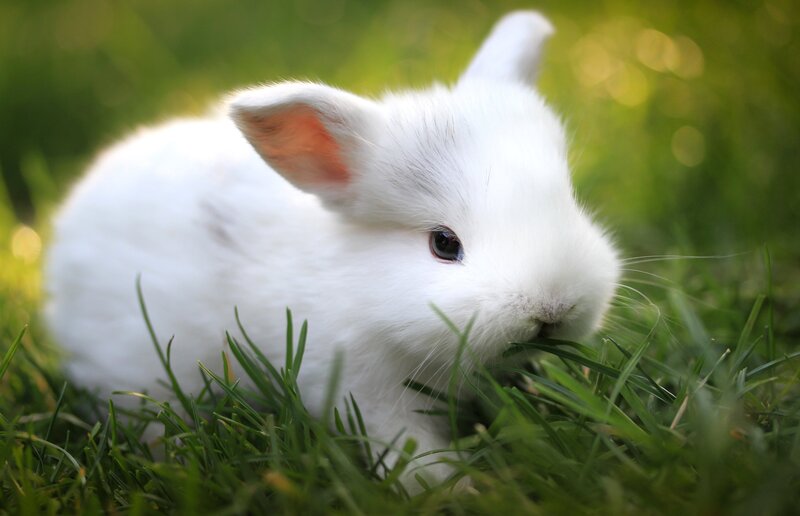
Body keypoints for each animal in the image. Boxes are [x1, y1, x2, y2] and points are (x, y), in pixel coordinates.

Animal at [45, 11, 620, 489]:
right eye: (443, 243)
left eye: (568, 201)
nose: (553, 309)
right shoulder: (364, 391)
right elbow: (408, 448)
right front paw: (451, 489)